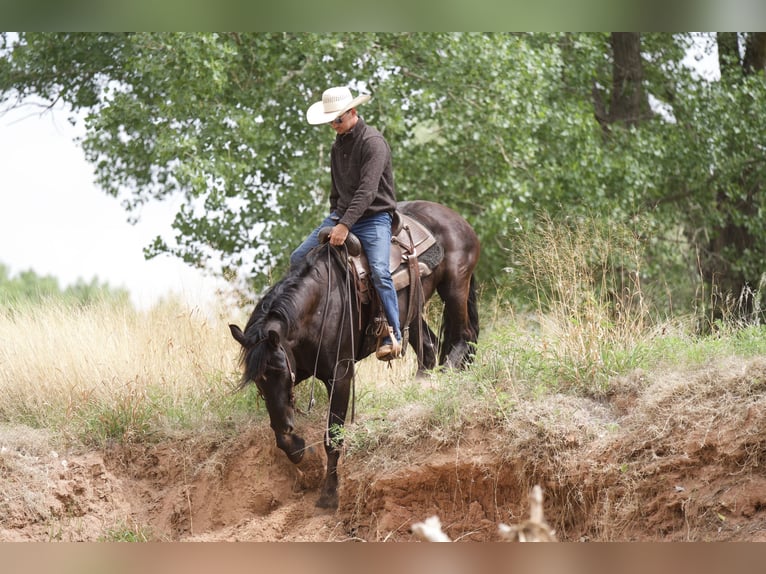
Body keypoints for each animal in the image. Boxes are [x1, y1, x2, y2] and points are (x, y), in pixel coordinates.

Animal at [230, 201, 480, 508]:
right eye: (259, 380)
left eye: (280, 371)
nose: (286, 424)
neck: (319, 307)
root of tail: (455, 218)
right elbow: (282, 439)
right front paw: (302, 453)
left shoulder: (340, 374)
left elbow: (333, 436)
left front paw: (329, 495)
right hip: (412, 310)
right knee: (429, 348)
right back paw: (422, 382)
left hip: (455, 287)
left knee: (462, 339)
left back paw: (442, 379)